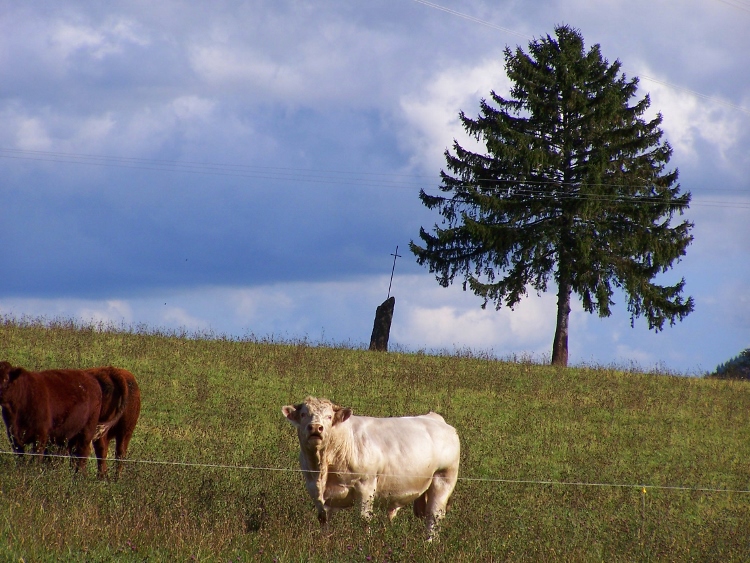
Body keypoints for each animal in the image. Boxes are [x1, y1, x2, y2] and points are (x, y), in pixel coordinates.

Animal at [280, 394, 458, 540]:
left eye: (329, 416)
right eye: (303, 414)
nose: (316, 427)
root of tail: (434, 417)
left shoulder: (366, 485)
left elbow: (364, 519)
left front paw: (364, 543)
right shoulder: (314, 489)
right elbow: (323, 519)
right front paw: (325, 543)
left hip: (443, 479)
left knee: (434, 516)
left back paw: (428, 544)